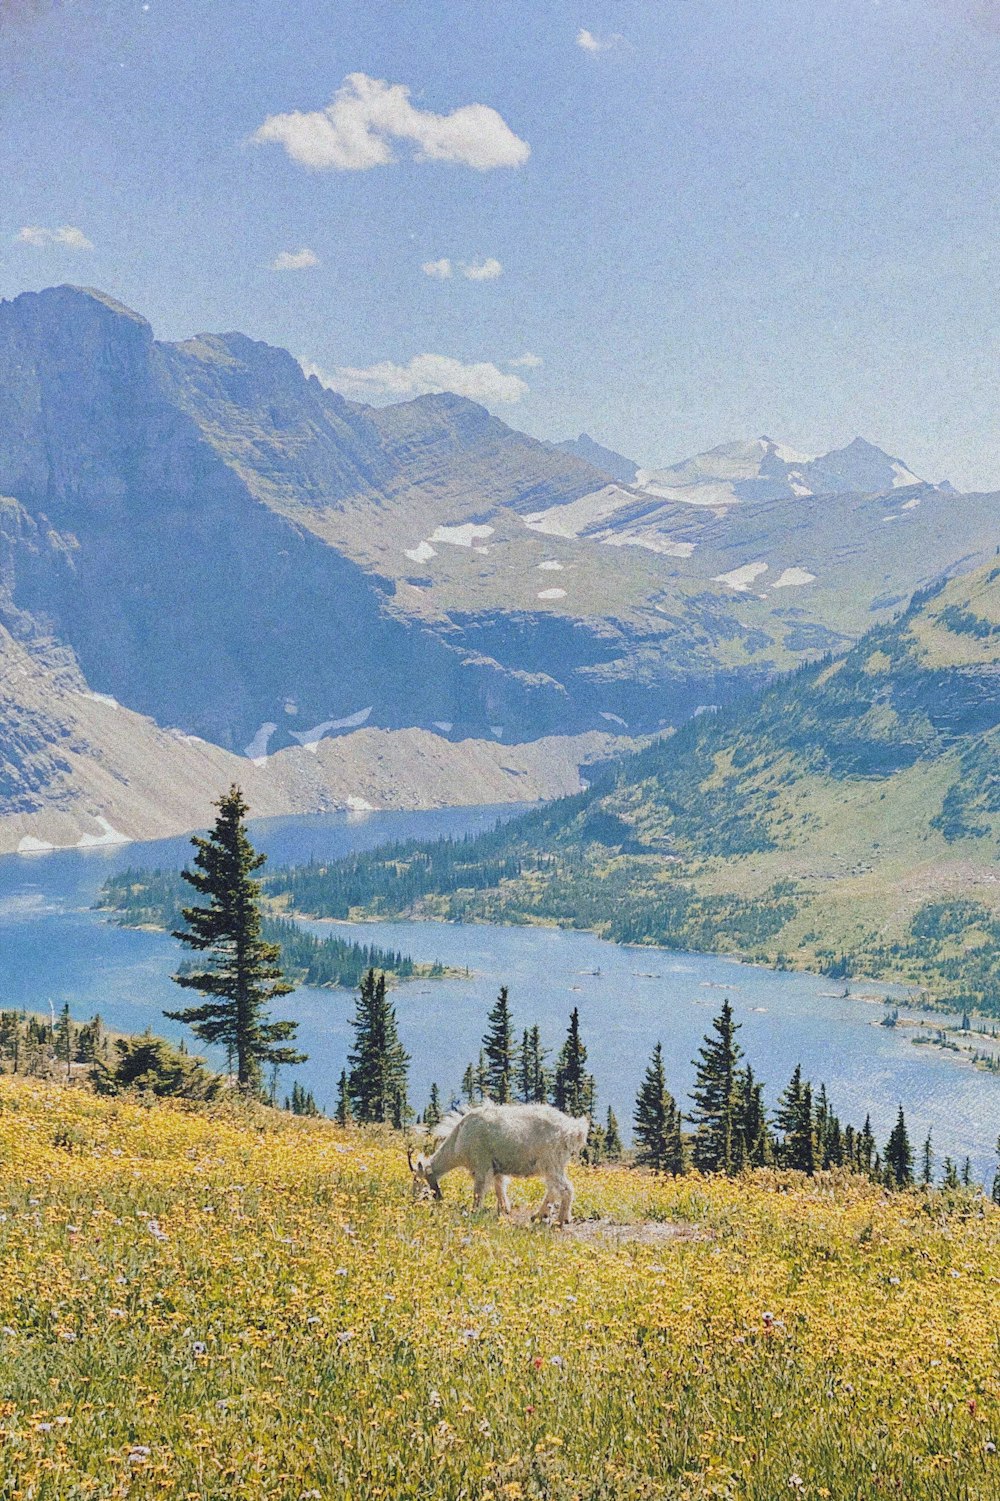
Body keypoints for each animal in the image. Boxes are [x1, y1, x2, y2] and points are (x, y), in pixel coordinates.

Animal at [408, 1098, 588, 1224]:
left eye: (417, 1180)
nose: (413, 1200)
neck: (459, 1138)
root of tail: (574, 1130)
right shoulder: (495, 1167)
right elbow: (499, 1185)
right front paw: (504, 1209)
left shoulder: (481, 1164)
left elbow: (479, 1190)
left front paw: (474, 1211)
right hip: (551, 1165)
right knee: (553, 1188)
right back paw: (538, 1215)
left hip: (551, 1162)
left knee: (565, 1188)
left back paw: (561, 1219)